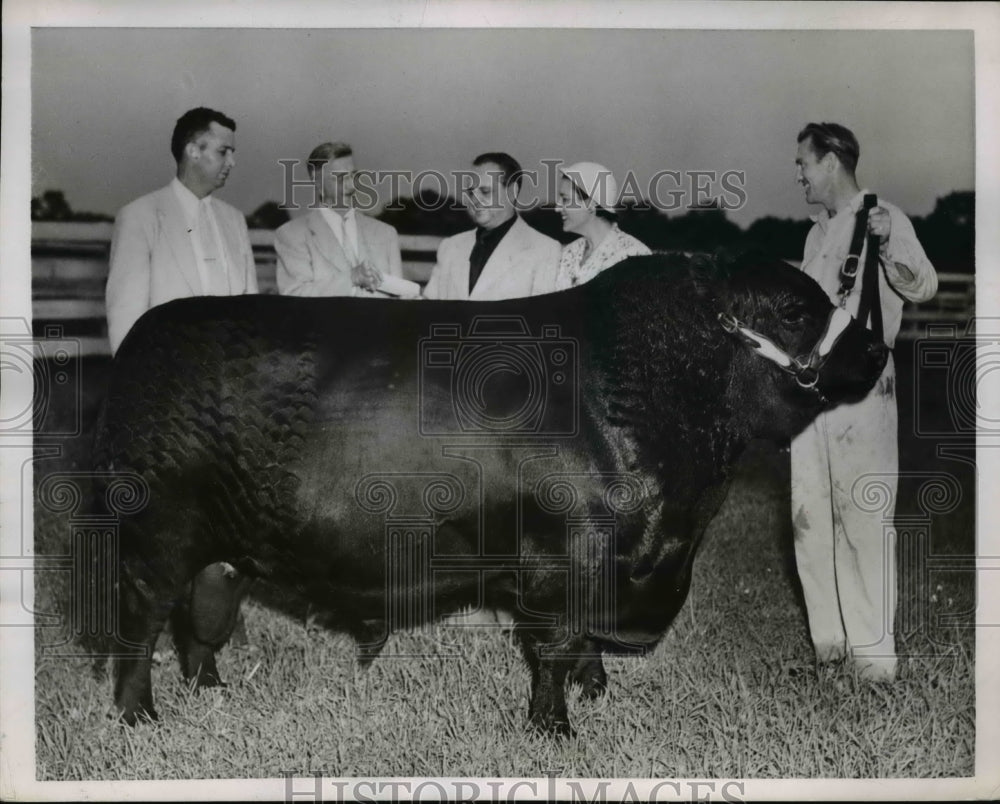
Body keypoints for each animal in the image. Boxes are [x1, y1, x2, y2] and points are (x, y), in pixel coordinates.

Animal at [94, 251, 888, 736]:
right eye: (794, 310)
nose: (878, 349)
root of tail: (143, 338)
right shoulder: (568, 554)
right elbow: (559, 645)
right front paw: (554, 728)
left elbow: (585, 644)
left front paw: (597, 693)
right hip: (152, 539)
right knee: (142, 624)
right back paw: (137, 718)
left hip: (218, 548)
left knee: (202, 619)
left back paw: (211, 691)